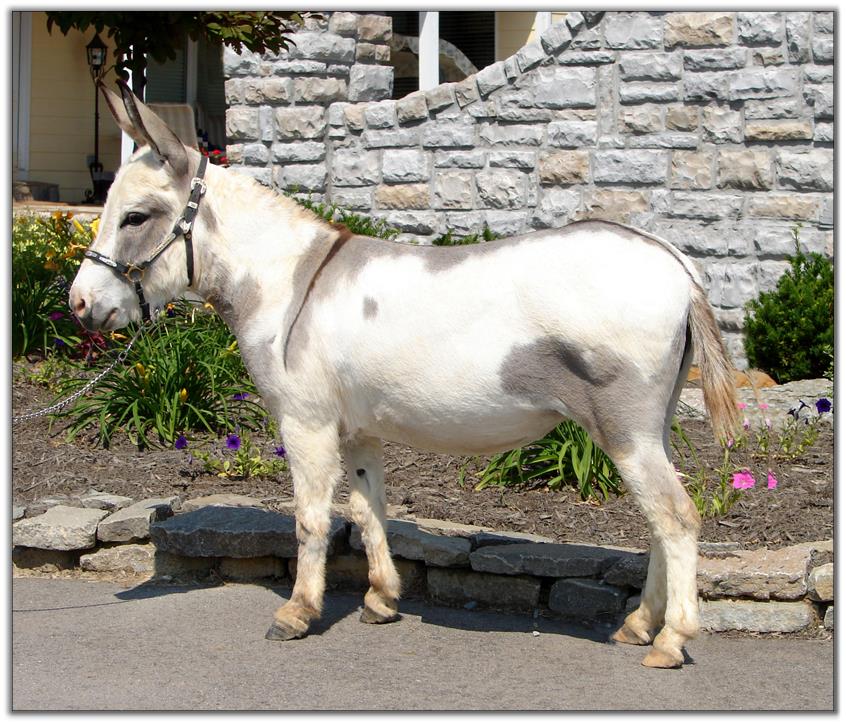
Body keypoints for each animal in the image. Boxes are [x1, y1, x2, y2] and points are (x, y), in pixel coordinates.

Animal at [69, 82, 739, 669]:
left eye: (135, 217)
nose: (78, 305)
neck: (288, 284)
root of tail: (675, 264)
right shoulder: (359, 431)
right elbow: (369, 510)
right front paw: (381, 598)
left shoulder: (306, 424)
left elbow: (311, 517)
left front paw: (298, 612)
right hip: (650, 428)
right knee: (659, 522)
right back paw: (637, 625)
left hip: (623, 427)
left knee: (676, 519)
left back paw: (670, 640)